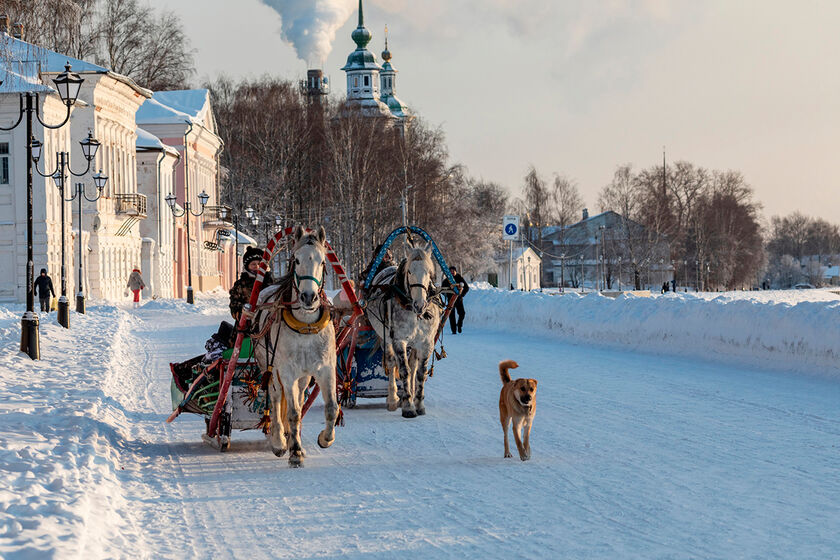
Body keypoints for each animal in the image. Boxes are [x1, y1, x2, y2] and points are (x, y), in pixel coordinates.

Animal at [253, 225, 338, 466]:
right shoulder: (287, 373)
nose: (308, 297)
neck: (306, 327)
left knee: (299, 399)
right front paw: (294, 453)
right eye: (296, 260)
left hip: (303, 377)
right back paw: (280, 442)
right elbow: (292, 412)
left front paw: (325, 439)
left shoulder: (325, 370)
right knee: (275, 399)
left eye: (322, 261)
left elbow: (331, 408)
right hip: (270, 369)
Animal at [364, 243, 440, 418]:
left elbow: (420, 372)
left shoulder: (426, 343)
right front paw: (408, 407)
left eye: (428, 271)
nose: (420, 305)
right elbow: (404, 371)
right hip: (385, 338)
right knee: (392, 363)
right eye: (410, 271)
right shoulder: (399, 340)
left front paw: (418, 404)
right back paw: (393, 399)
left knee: (413, 366)